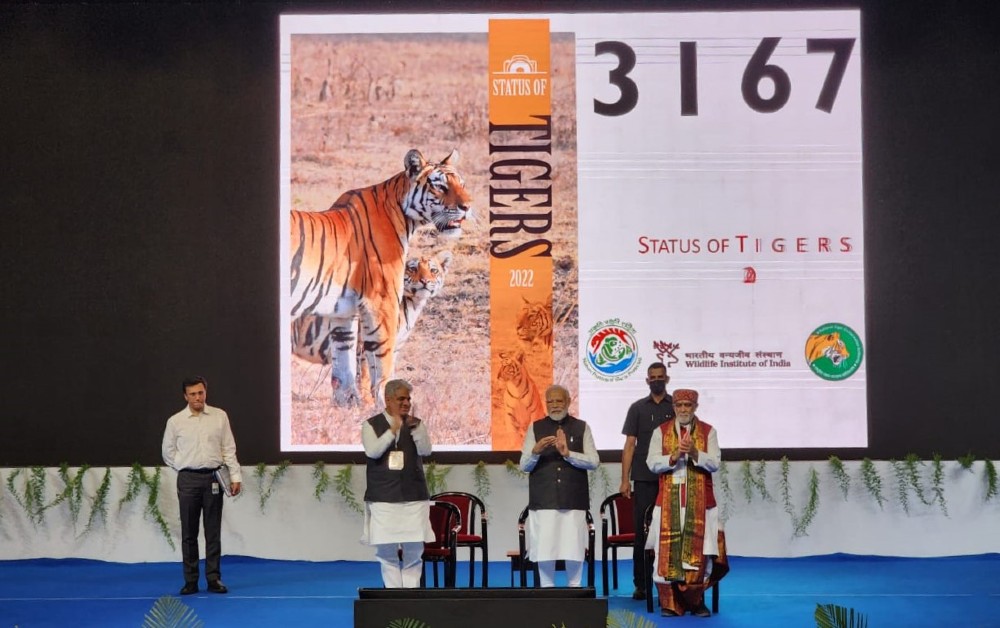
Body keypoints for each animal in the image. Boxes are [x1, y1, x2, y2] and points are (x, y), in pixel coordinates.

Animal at [292, 151, 470, 408]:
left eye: (461, 184)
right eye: (440, 186)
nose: (467, 207)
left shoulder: (343, 311)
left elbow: (344, 367)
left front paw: (349, 405)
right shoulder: (381, 303)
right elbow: (379, 367)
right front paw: (381, 405)